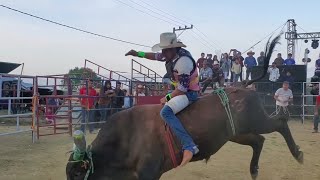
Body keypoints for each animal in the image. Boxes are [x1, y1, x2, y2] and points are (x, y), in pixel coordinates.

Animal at [65, 34, 302, 180]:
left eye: (76, 173)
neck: (126, 138)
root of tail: (242, 85)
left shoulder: (149, 173)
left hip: (257, 121)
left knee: (280, 123)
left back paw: (297, 154)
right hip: (236, 133)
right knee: (258, 141)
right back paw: (254, 170)